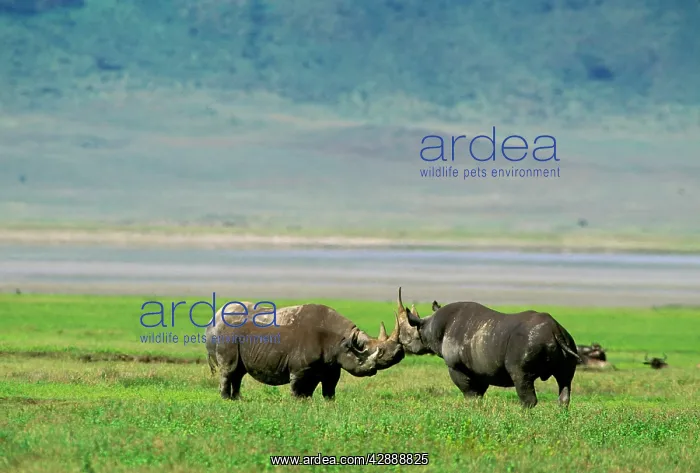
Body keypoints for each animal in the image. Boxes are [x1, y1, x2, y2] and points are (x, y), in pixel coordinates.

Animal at [394, 288, 580, 408]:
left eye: (407, 335)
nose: (402, 344)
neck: (429, 326)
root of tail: (555, 330)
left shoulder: (455, 366)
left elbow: (468, 392)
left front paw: (471, 409)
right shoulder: (480, 366)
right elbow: (478, 393)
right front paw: (478, 409)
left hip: (526, 345)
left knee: (521, 377)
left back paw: (524, 416)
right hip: (569, 341)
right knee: (564, 379)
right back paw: (562, 414)